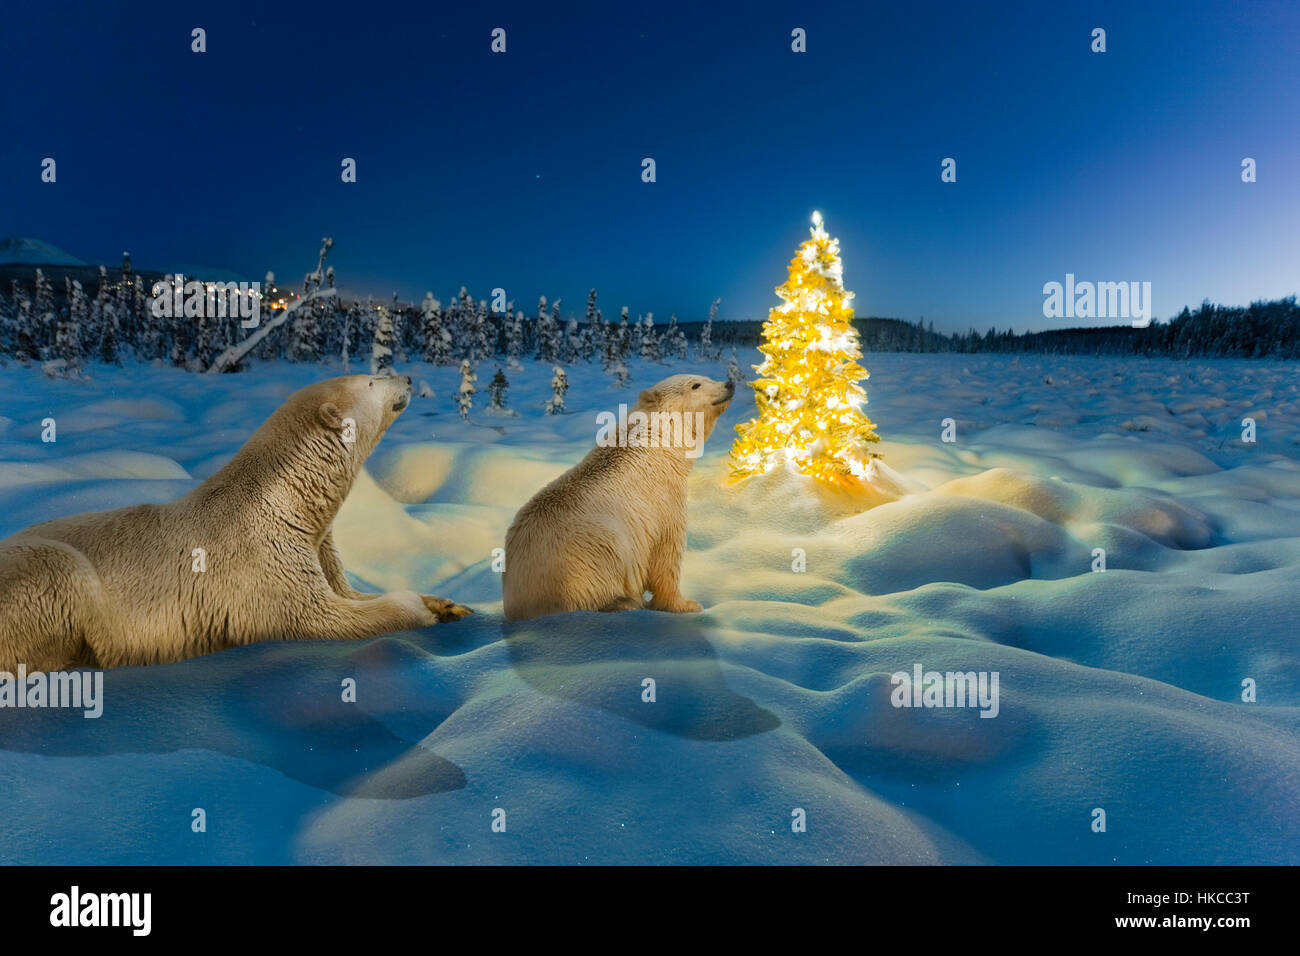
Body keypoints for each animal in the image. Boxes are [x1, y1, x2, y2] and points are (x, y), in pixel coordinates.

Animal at [0, 374, 470, 671]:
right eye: (371, 380)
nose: (407, 377)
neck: (282, 500)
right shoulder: (264, 563)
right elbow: (324, 616)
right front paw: (419, 609)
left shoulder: (317, 546)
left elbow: (346, 590)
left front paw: (447, 604)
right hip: (43, 575)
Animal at [501, 374, 733, 621]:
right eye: (695, 384)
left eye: (707, 377)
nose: (729, 384)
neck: (657, 444)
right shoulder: (662, 500)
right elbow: (666, 555)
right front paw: (687, 604)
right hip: (592, 551)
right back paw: (625, 602)